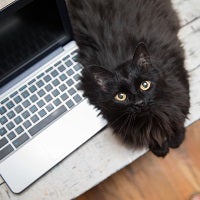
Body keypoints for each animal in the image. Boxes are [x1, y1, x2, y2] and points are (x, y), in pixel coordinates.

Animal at [67, 0, 189, 156]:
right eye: (121, 96)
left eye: (145, 85)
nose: (139, 103)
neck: (148, 119)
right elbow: (148, 135)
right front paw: (159, 148)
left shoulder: (179, 86)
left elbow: (178, 116)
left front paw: (176, 140)